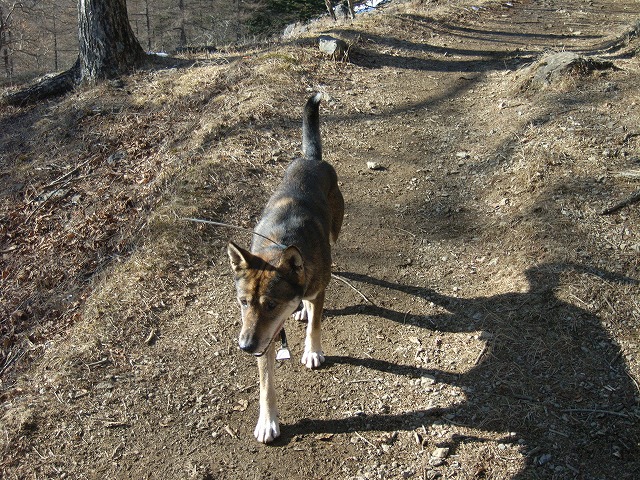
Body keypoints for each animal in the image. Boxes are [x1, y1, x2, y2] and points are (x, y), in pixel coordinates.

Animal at [226, 94, 342, 442]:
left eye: (271, 305)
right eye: (243, 303)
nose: (245, 346)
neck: (280, 245)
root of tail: (311, 159)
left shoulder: (317, 291)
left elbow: (315, 324)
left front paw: (312, 351)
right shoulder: (264, 337)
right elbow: (266, 384)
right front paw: (267, 422)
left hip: (336, 230)